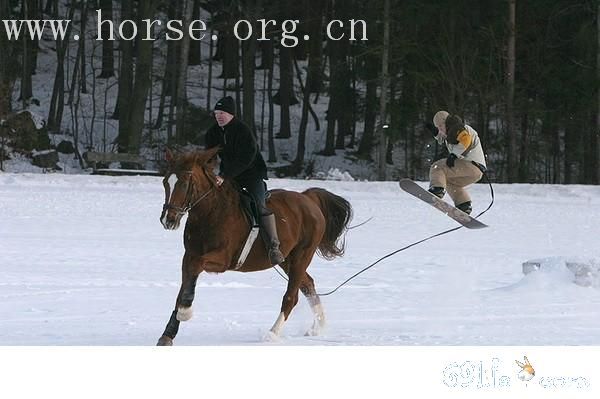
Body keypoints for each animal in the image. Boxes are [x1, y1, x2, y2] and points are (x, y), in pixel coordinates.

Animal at [156, 148, 352, 346]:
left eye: (184, 184)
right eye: (165, 182)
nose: (168, 220)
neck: (209, 213)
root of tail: (307, 198)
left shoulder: (222, 259)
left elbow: (195, 268)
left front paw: (184, 311)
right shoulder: (189, 255)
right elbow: (185, 283)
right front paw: (168, 333)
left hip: (302, 255)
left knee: (292, 296)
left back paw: (272, 334)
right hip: (287, 260)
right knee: (308, 285)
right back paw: (318, 327)